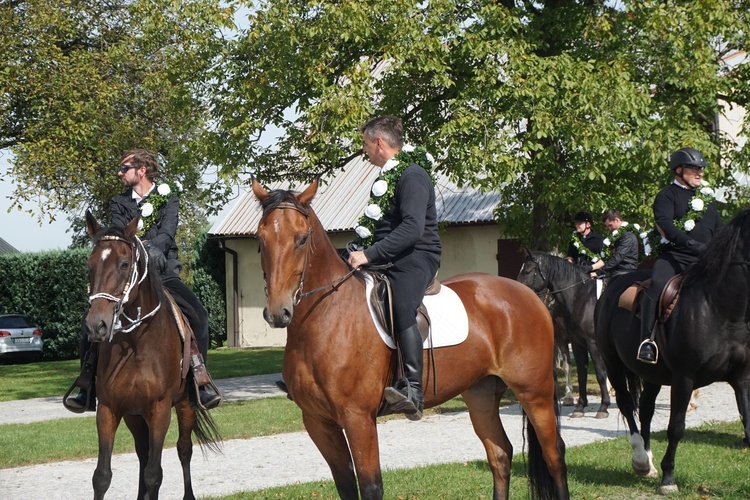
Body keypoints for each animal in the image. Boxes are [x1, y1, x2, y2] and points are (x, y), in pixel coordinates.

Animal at [85, 212, 222, 500]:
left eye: (124, 264)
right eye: (89, 264)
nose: (96, 325)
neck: (135, 344)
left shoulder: (159, 410)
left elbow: (154, 474)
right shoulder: (109, 409)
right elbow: (102, 476)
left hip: (185, 405)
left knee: (184, 449)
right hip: (134, 415)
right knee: (143, 453)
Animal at [253, 180, 568, 500]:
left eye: (302, 239)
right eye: (260, 239)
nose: (278, 313)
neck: (327, 318)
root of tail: (530, 295)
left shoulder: (358, 418)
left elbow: (371, 485)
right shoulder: (318, 422)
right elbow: (345, 485)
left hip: (535, 392)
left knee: (554, 455)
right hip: (480, 393)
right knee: (500, 455)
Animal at [520, 250, 612, 418]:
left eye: (527, 271)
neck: (581, 298)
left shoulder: (591, 343)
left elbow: (600, 372)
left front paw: (603, 406)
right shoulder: (574, 342)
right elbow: (578, 372)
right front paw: (579, 406)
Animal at [596, 207, 750, 496]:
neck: (720, 309)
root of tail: (612, 287)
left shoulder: (742, 378)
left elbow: (747, 420)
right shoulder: (684, 379)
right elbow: (676, 427)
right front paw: (668, 479)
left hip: (652, 374)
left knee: (645, 408)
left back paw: (648, 463)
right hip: (612, 363)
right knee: (626, 404)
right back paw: (640, 459)